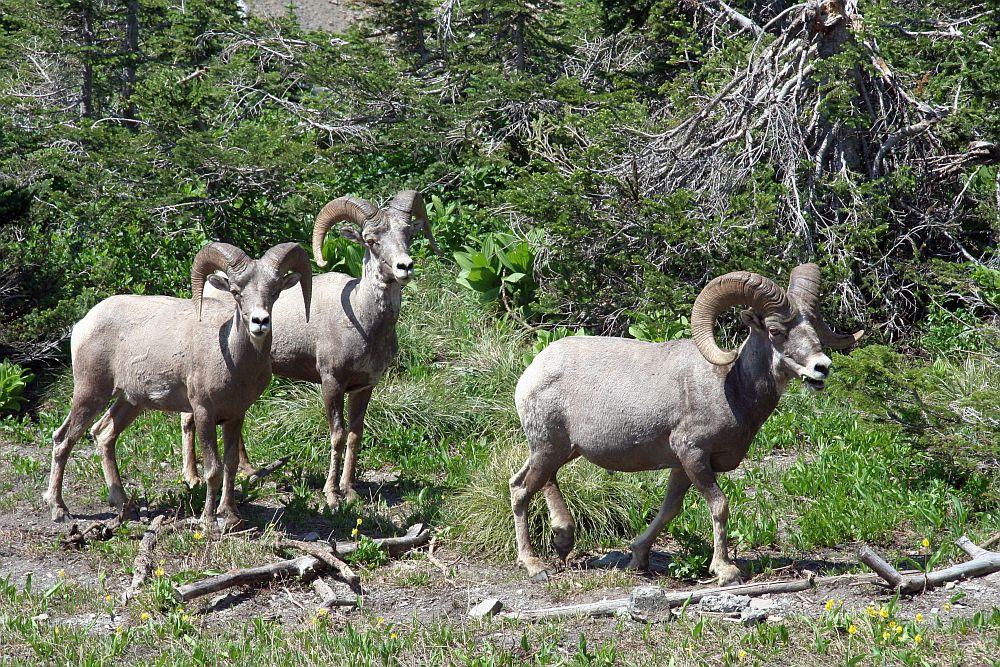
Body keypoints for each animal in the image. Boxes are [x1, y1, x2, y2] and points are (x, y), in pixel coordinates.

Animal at [43, 242, 312, 530]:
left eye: (274, 292)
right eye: (236, 292)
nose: (260, 322)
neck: (232, 359)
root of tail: (83, 324)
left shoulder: (235, 416)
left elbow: (231, 465)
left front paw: (231, 517)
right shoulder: (203, 413)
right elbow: (213, 469)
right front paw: (209, 521)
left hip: (130, 402)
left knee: (103, 435)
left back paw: (126, 508)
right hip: (90, 393)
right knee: (63, 440)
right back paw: (59, 509)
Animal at [179, 191, 437, 507]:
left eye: (408, 235)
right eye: (371, 240)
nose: (405, 267)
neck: (363, 320)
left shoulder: (365, 387)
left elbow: (355, 435)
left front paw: (349, 490)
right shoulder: (331, 382)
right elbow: (337, 435)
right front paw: (332, 495)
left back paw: (249, 472)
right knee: (188, 418)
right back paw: (192, 478)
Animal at [511, 264, 862, 584]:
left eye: (813, 326)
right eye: (776, 331)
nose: (821, 367)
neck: (730, 386)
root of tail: (533, 370)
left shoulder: (682, 466)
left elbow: (669, 510)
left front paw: (638, 558)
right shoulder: (693, 454)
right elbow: (719, 506)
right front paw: (725, 570)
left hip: (561, 450)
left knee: (537, 480)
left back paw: (563, 539)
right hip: (549, 447)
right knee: (521, 490)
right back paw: (535, 566)